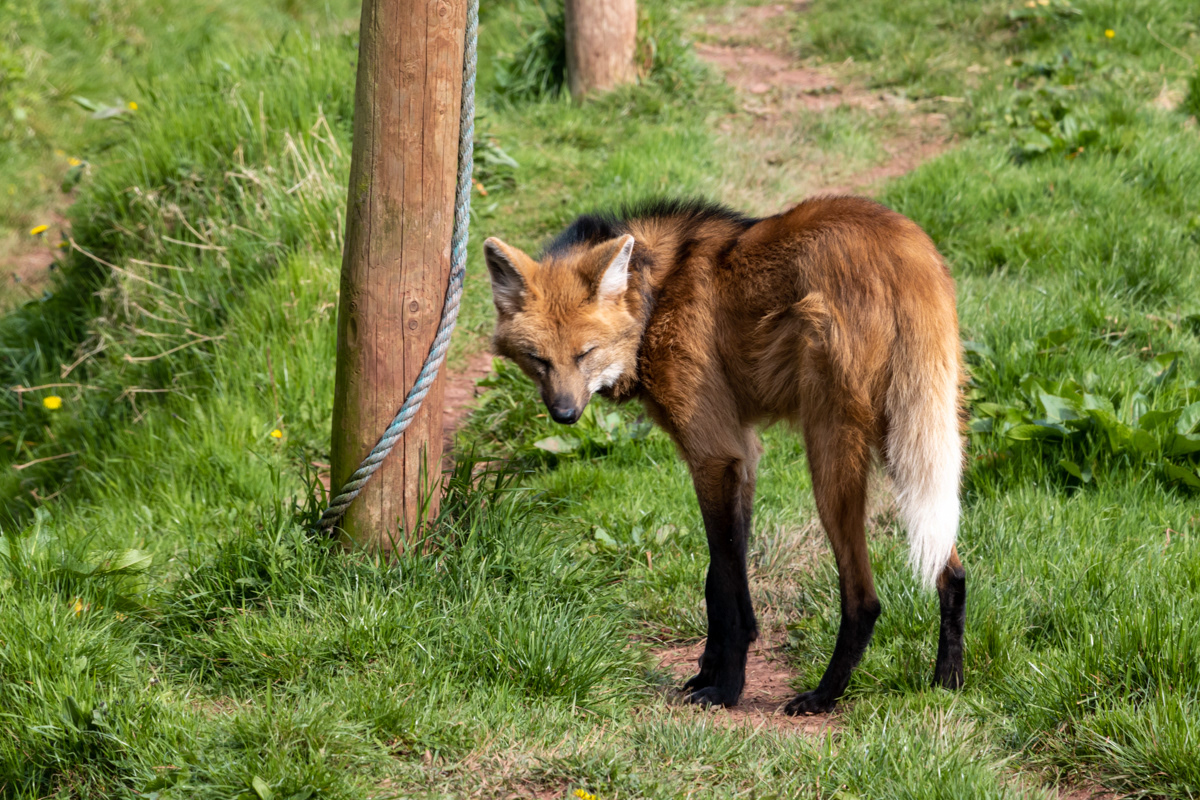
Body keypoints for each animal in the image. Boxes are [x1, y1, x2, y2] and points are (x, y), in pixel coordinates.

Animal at [483, 196, 965, 713]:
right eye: (539, 360)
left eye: (585, 353)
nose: (565, 414)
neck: (655, 298)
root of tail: (907, 249)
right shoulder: (742, 455)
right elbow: (723, 576)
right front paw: (710, 669)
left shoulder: (714, 454)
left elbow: (726, 582)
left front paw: (726, 688)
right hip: (909, 438)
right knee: (951, 569)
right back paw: (948, 681)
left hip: (832, 450)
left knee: (864, 598)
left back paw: (824, 695)